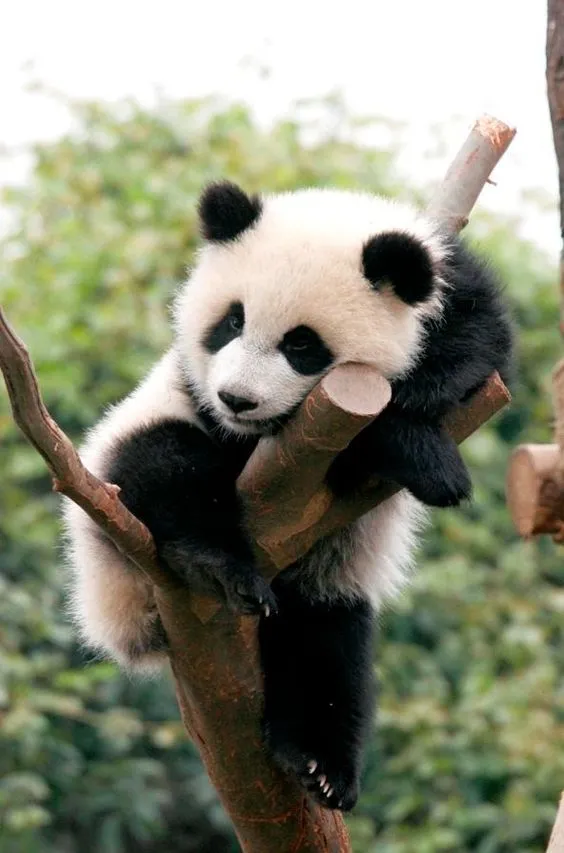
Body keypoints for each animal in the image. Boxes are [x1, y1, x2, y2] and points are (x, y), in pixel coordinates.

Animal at [63, 181, 513, 811]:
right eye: (231, 322)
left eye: (302, 345)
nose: (236, 398)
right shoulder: (207, 408)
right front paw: (423, 456)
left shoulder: (457, 295)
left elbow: (477, 351)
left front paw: (423, 427)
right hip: (111, 508)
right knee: (164, 463)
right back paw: (216, 565)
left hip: (324, 580)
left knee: (325, 645)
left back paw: (319, 763)